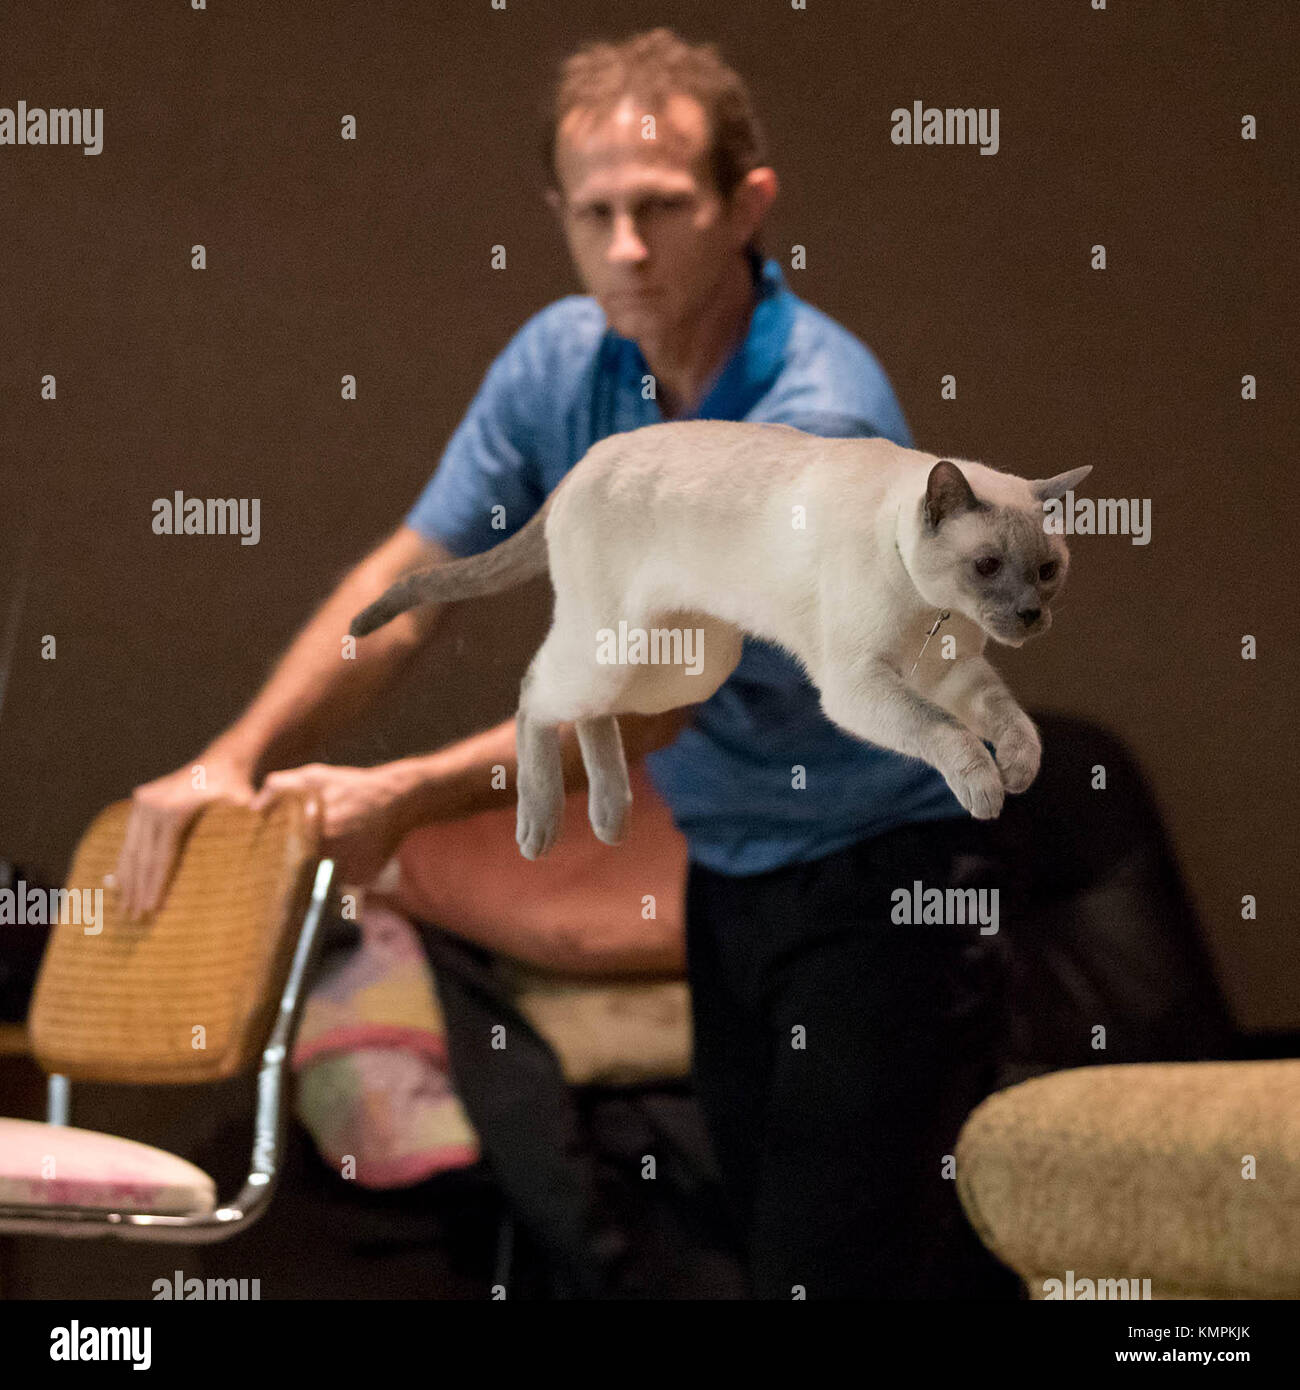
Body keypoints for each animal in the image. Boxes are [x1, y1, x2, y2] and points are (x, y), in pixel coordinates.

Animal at [350, 417, 1095, 856]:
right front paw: (987, 792)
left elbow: (1011, 723)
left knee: (589, 711)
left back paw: (610, 816)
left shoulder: (952, 674)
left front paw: (1019, 771)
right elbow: (950, 735)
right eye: (988, 566)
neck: (932, 612)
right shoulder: (860, 686)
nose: (1030, 614)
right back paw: (539, 827)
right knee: (535, 690)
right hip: (612, 647)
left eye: (1047, 571)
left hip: (680, 667)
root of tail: (584, 461)